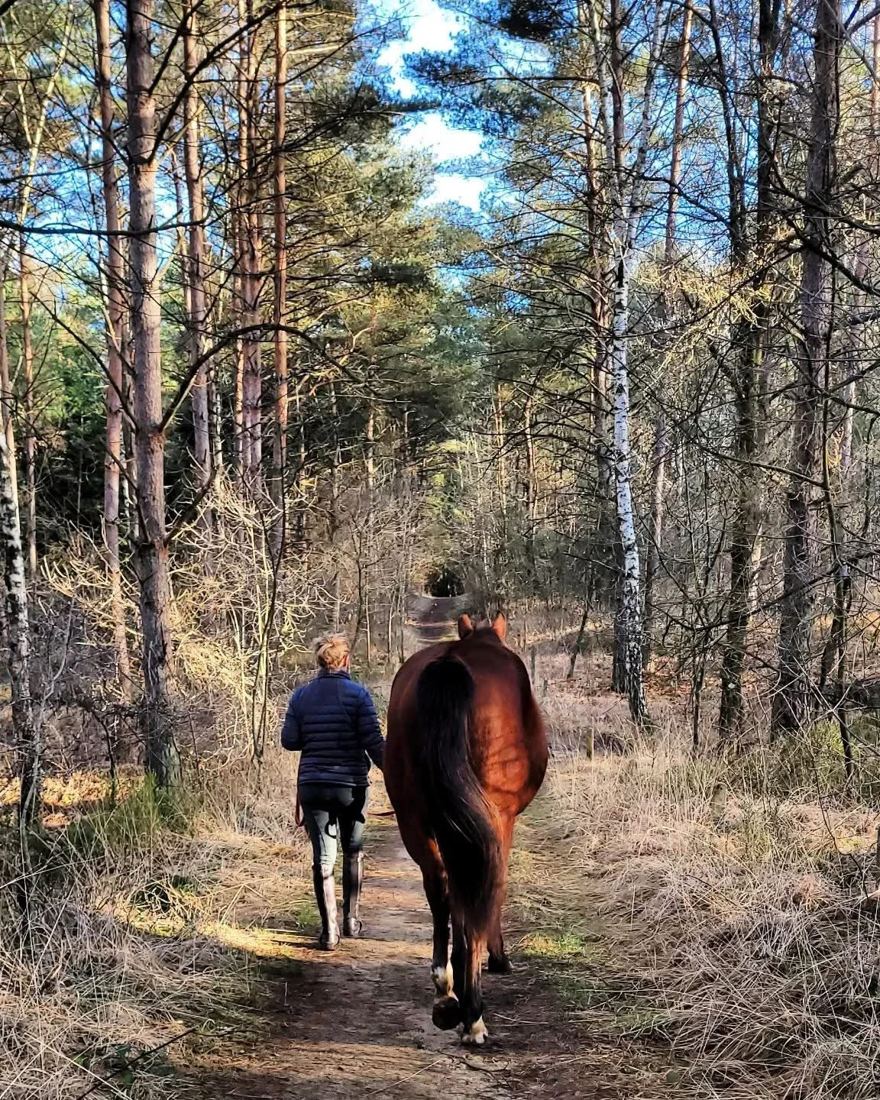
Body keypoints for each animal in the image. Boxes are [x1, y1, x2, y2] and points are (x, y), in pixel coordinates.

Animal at [384, 611, 548, 1045]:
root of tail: (452, 665)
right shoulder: (503, 822)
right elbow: (494, 889)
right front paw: (498, 957)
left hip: (415, 819)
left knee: (441, 887)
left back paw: (446, 989)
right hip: (486, 818)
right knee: (472, 890)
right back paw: (472, 1012)